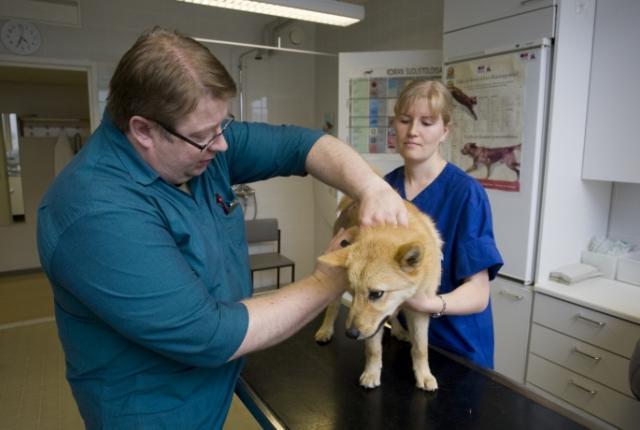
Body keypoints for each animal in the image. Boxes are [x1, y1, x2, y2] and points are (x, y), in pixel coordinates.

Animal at [312, 197, 442, 392]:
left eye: (376, 294)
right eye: (353, 292)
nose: (350, 334)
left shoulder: (419, 311)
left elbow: (420, 349)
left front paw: (424, 375)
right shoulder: (371, 326)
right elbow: (373, 350)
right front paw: (371, 373)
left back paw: (398, 330)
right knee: (332, 308)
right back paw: (325, 330)